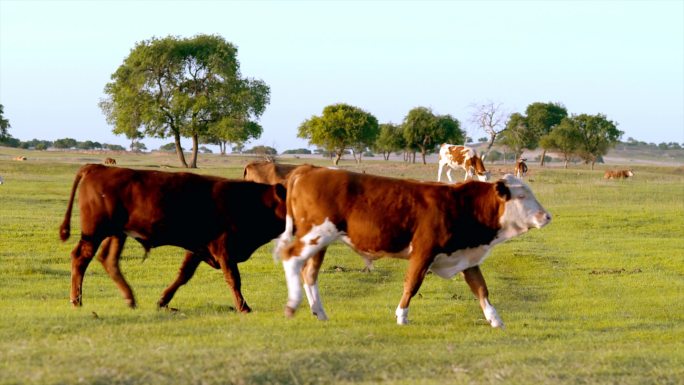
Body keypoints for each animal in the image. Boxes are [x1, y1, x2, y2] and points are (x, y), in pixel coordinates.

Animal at [60, 164, 288, 310]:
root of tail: (98, 167)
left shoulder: (199, 248)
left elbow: (183, 275)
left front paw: (162, 301)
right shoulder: (223, 249)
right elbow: (233, 279)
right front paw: (243, 306)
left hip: (116, 234)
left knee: (108, 260)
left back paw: (129, 298)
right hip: (94, 233)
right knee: (80, 258)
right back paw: (76, 300)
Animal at [276, 166, 552, 328]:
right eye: (522, 196)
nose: (546, 216)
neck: (462, 204)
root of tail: (311, 169)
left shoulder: (466, 257)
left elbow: (481, 289)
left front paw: (495, 319)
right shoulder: (423, 252)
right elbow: (412, 284)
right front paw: (401, 316)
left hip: (320, 242)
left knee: (310, 273)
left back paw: (319, 312)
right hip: (315, 235)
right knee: (291, 259)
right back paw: (292, 306)